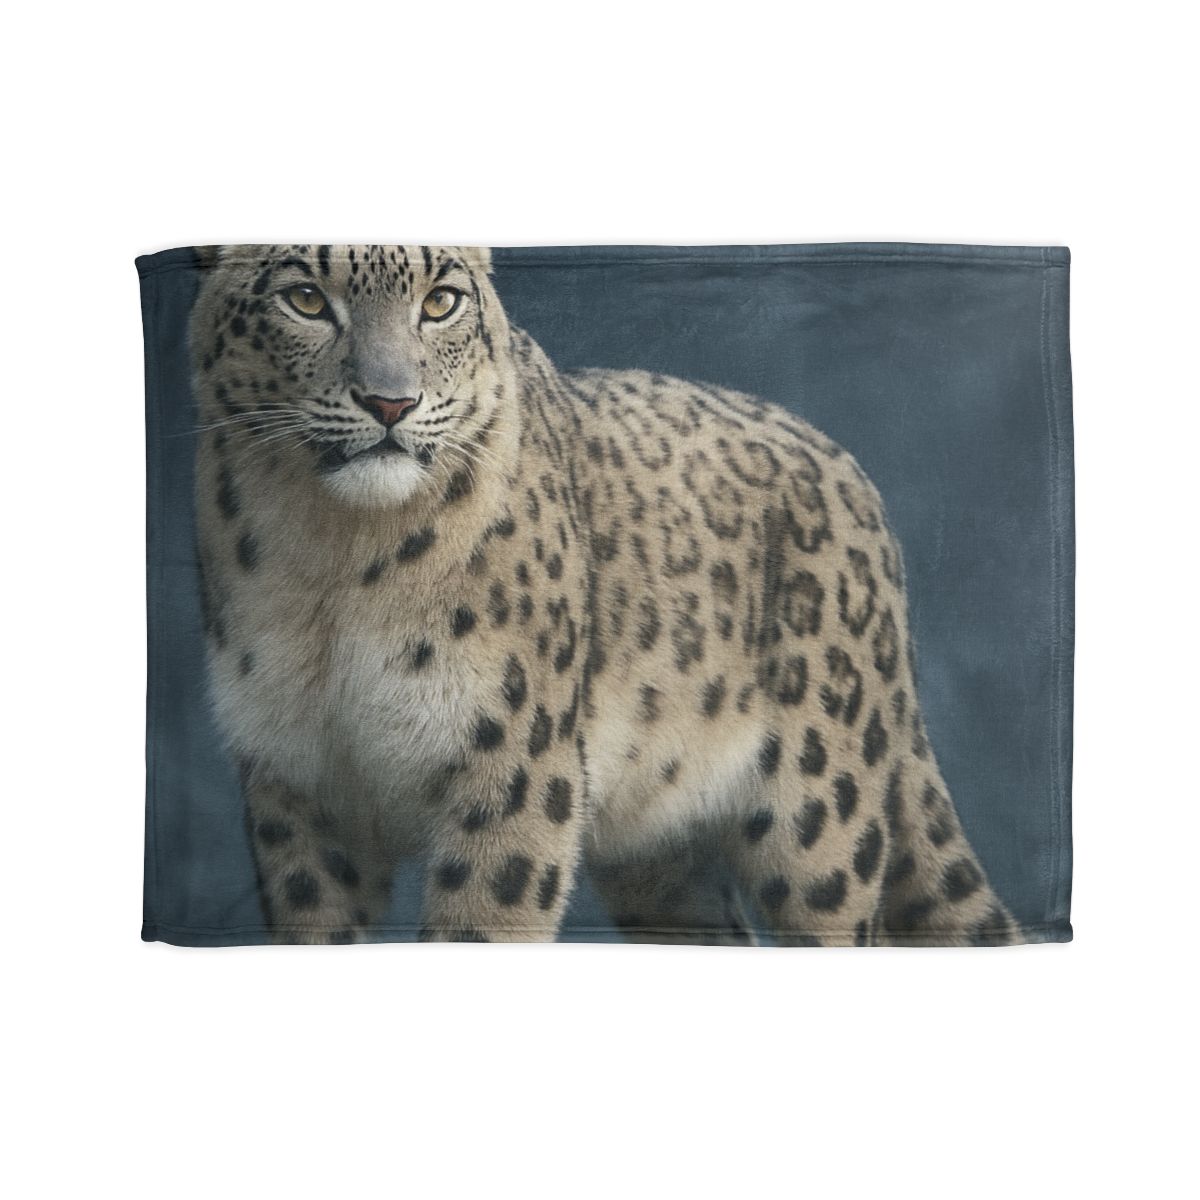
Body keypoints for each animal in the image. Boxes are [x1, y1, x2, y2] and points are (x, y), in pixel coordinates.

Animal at [189, 243, 1019, 946]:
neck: (333, 564)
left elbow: (483, 921)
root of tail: (854, 477)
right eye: (304, 297)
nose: (391, 402)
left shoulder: (513, 762)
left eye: (440, 301)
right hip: (660, 861)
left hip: (821, 821)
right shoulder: (297, 782)